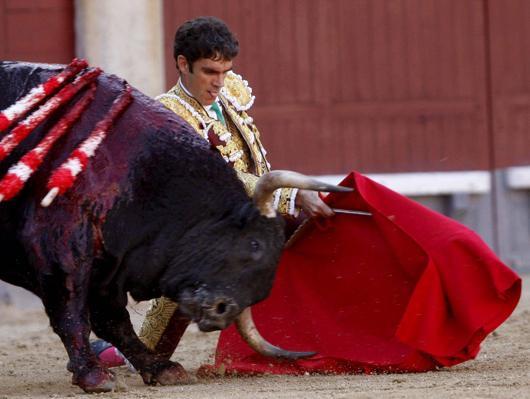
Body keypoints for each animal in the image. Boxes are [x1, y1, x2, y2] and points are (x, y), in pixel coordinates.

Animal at [0, 62, 346, 394]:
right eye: (255, 245)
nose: (222, 312)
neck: (139, 173)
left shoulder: (108, 268)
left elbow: (114, 320)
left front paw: (160, 368)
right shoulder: (60, 251)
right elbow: (72, 314)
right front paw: (93, 375)